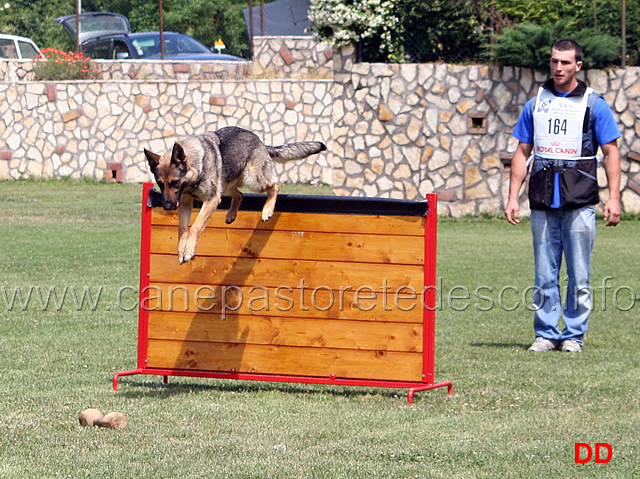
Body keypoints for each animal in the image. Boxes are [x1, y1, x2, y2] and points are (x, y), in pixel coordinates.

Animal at [143, 125, 328, 264]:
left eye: (174, 182)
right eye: (160, 183)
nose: (167, 207)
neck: (196, 166)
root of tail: (260, 141)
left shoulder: (211, 200)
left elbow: (195, 226)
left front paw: (189, 250)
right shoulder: (185, 202)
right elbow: (182, 229)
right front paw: (182, 250)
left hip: (253, 180)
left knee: (274, 186)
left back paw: (267, 210)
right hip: (226, 185)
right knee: (239, 195)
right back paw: (231, 214)